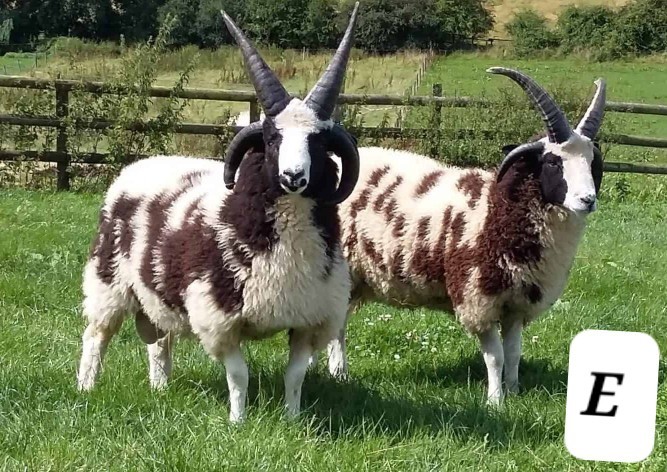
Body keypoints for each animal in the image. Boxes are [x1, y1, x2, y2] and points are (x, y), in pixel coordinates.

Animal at [76, 4, 361, 423]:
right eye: (272, 138)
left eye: (319, 141)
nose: (294, 177)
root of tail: (140, 166)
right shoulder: (219, 317)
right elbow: (239, 375)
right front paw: (237, 421)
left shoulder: (308, 318)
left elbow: (295, 376)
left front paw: (292, 419)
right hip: (107, 281)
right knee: (96, 335)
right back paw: (86, 387)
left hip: (156, 294)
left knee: (158, 341)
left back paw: (160, 389)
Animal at [320, 67, 606, 405]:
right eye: (552, 161)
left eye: (592, 162)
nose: (587, 200)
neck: (498, 211)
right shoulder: (478, 298)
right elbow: (495, 356)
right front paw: (496, 401)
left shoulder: (516, 303)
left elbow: (514, 353)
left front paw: (514, 391)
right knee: (337, 325)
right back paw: (339, 373)